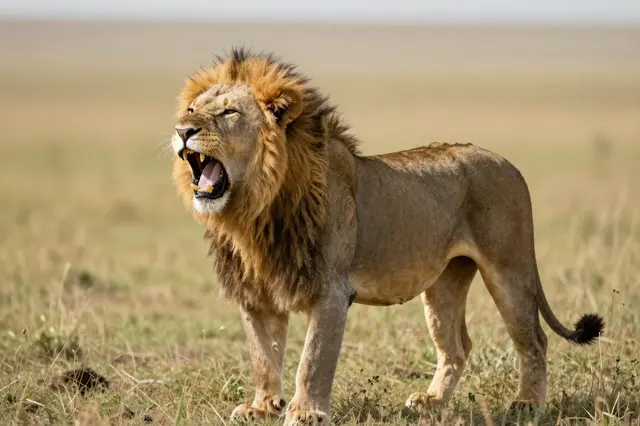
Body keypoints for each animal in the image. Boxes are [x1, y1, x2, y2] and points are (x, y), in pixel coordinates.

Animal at [169, 48, 604, 425]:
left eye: (228, 112)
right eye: (191, 109)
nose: (182, 130)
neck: (254, 213)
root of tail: (508, 163)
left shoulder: (331, 291)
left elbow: (312, 360)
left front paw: (306, 412)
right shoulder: (255, 293)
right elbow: (262, 355)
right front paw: (261, 408)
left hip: (509, 269)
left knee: (534, 340)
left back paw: (527, 405)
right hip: (445, 281)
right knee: (458, 346)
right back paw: (431, 403)